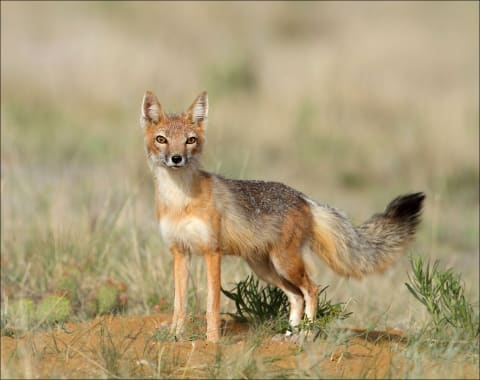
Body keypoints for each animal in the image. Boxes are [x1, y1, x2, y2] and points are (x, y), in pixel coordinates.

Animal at [141, 90, 426, 342]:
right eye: (162, 139)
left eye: (190, 140)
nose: (176, 158)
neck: (180, 201)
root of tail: (304, 197)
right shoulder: (180, 251)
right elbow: (179, 304)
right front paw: (174, 336)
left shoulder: (212, 252)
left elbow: (212, 304)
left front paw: (212, 341)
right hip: (266, 269)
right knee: (296, 296)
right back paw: (289, 335)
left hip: (284, 264)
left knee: (311, 290)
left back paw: (306, 335)